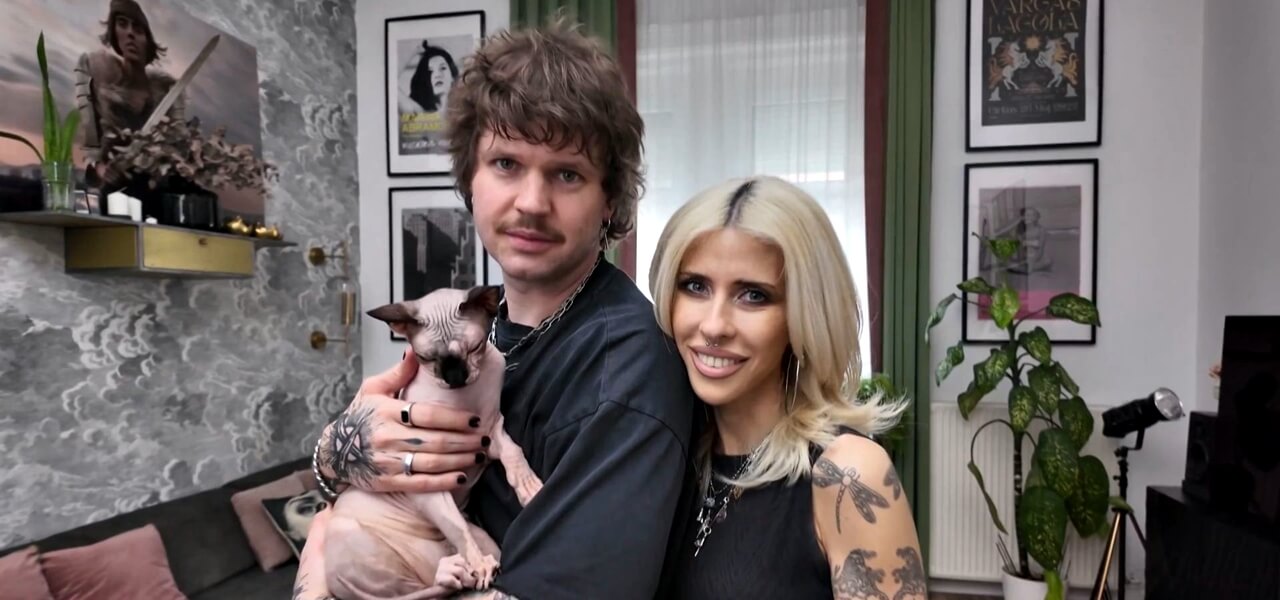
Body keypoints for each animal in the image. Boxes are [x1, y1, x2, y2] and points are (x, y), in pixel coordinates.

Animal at [322, 285, 543, 600]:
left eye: (475, 347)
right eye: (425, 358)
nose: (455, 378)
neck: (463, 400)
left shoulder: (490, 434)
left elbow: (514, 451)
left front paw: (528, 486)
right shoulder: (429, 481)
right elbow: (456, 527)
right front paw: (478, 564)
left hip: (485, 540)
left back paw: (457, 571)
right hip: (362, 547)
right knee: (407, 591)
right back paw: (458, 569)